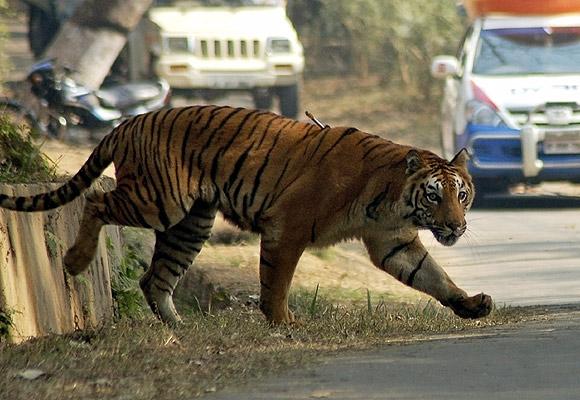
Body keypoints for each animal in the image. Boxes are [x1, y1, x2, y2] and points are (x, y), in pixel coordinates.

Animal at [0, 105, 492, 324]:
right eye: (434, 196)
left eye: (462, 195)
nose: (456, 225)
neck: (392, 197)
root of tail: (127, 122)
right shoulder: (288, 228)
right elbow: (276, 281)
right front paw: (283, 323)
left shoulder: (394, 241)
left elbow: (434, 277)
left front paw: (470, 304)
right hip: (160, 201)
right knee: (96, 202)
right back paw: (74, 261)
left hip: (190, 223)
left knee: (154, 279)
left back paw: (182, 329)